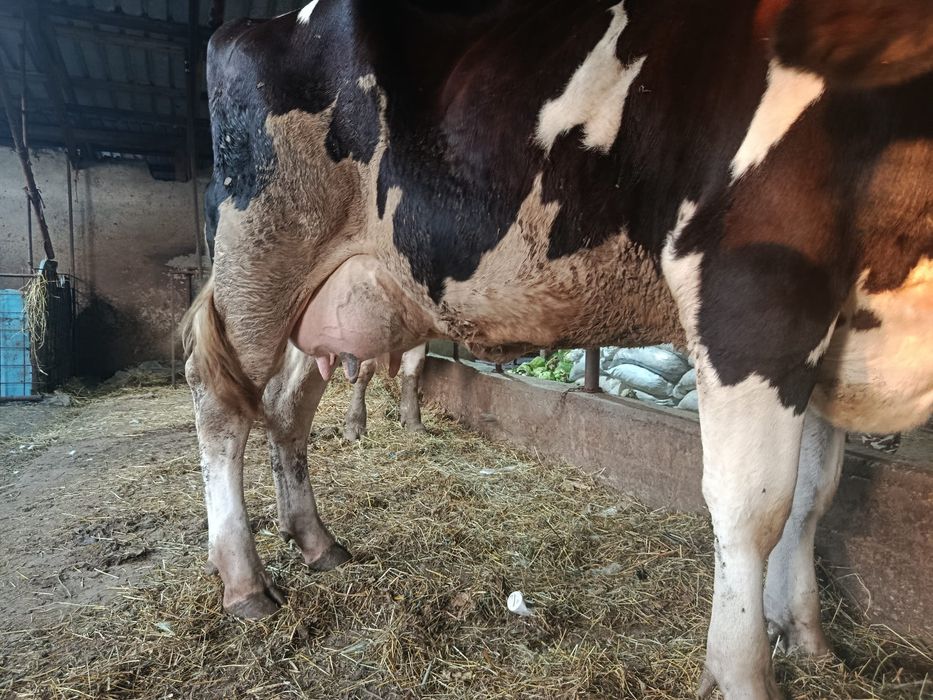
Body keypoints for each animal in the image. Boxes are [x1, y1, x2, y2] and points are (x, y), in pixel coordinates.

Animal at [182, 0, 933, 696]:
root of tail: (253, 24)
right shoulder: (754, 298)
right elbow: (753, 510)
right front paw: (742, 672)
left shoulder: (829, 337)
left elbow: (812, 498)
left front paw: (805, 639)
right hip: (261, 259)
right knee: (218, 408)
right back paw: (245, 583)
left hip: (330, 295)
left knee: (286, 409)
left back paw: (316, 542)